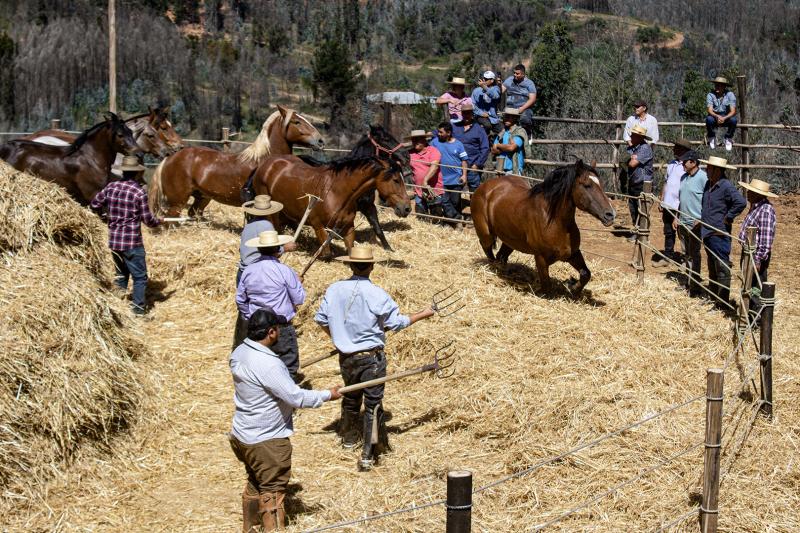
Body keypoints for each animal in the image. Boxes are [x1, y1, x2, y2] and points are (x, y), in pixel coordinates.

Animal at [148, 105, 324, 217]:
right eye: (297, 122)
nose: (321, 141)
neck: (264, 160)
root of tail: (170, 157)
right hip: (177, 202)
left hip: (202, 198)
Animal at [472, 161, 616, 296]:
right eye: (587, 185)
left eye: (600, 185)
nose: (610, 214)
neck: (555, 221)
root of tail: (484, 187)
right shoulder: (541, 258)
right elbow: (547, 287)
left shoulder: (573, 253)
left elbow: (586, 273)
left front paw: (573, 288)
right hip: (486, 235)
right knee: (488, 251)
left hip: (510, 241)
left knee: (501, 256)